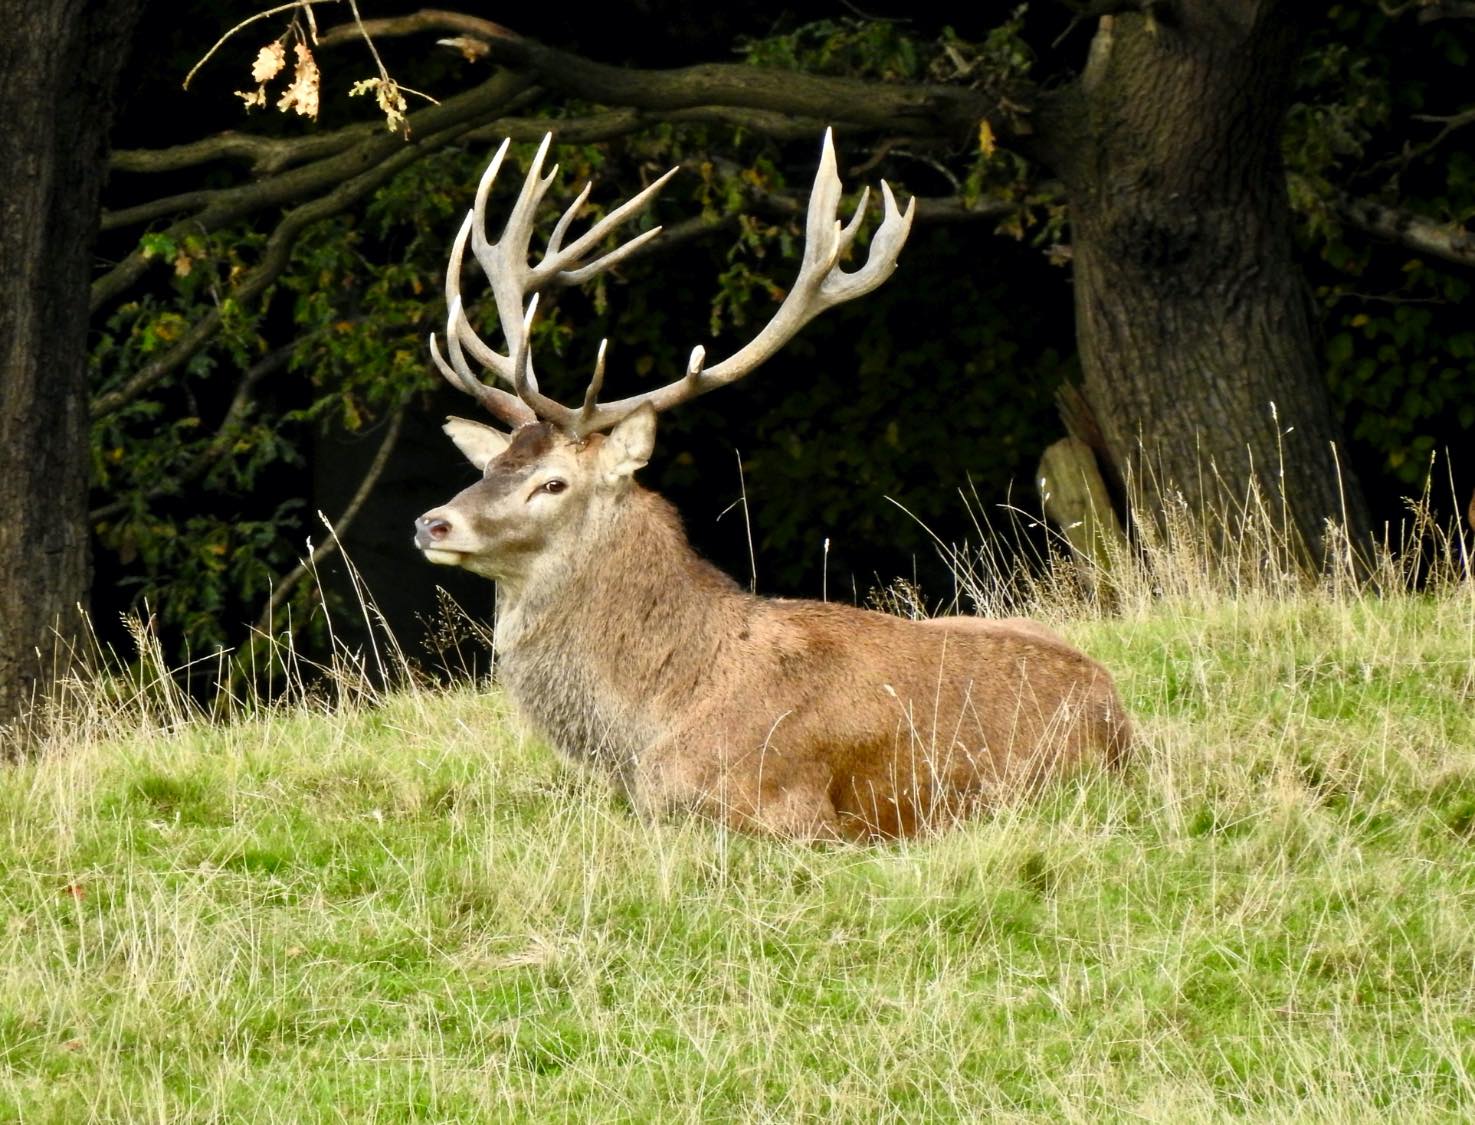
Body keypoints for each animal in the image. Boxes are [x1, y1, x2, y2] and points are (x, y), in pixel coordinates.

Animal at [413, 131, 1132, 841]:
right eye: (488, 469)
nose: (431, 522)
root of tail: (1121, 720)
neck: (649, 728)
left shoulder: (788, 813)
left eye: (553, 483)